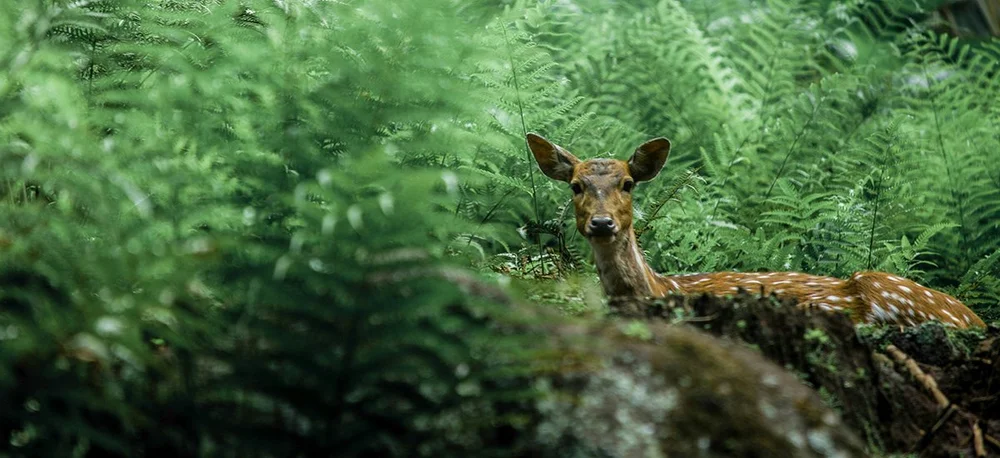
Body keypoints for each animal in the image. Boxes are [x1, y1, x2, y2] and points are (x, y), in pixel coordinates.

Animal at [526, 132, 986, 328]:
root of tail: (976, 320)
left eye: (627, 183)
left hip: (888, 290)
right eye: (576, 185)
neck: (661, 288)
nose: (602, 223)